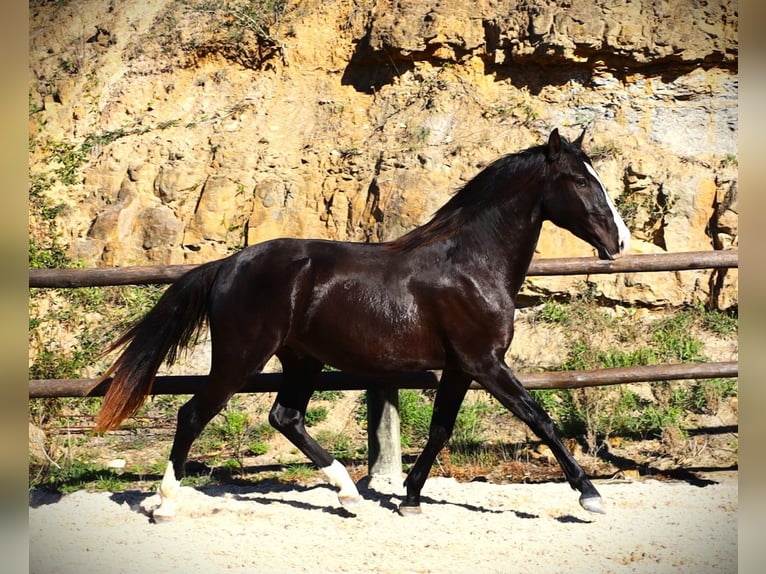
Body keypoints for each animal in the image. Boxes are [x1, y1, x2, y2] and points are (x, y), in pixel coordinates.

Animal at [94, 129, 632, 520]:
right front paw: (590, 496)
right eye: (581, 181)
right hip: (240, 357)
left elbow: (441, 428)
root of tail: (227, 265)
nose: (620, 241)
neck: (471, 265)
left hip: (302, 360)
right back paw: (165, 504)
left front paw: (410, 497)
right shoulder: (486, 363)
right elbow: (540, 418)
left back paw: (350, 495)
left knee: (284, 417)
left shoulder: (462, 367)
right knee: (193, 414)